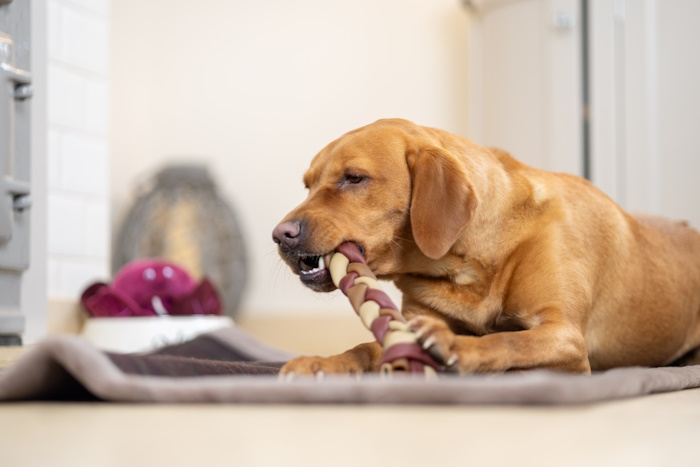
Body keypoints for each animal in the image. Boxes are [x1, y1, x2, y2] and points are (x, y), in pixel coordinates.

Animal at [272, 118, 700, 376]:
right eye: (308, 185)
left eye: (354, 178)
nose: (280, 234)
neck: (467, 268)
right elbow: (367, 346)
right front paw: (323, 362)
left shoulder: (565, 335)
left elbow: (508, 339)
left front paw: (455, 347)